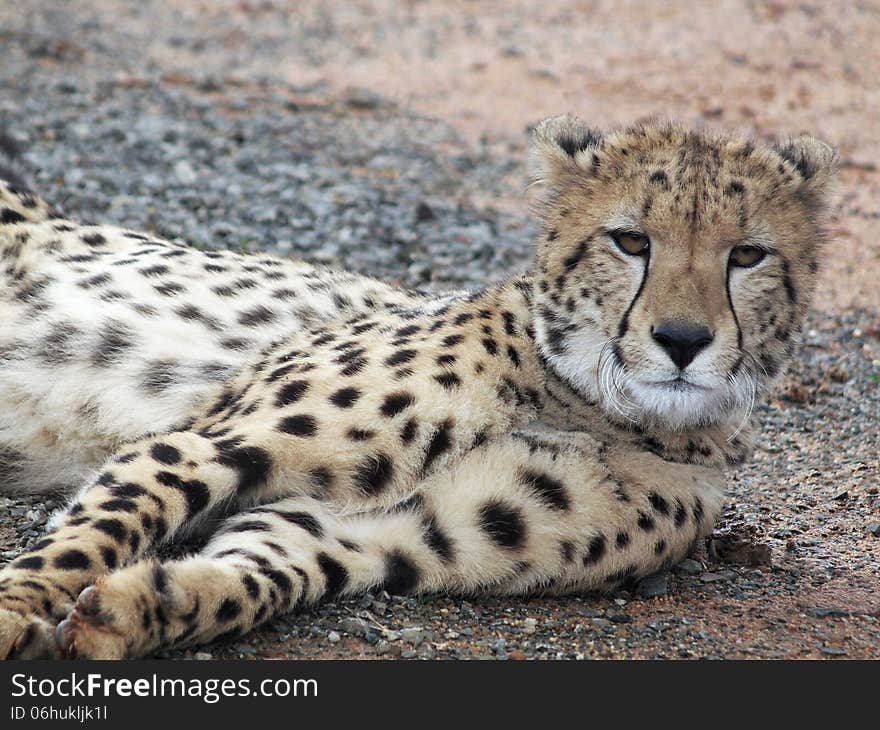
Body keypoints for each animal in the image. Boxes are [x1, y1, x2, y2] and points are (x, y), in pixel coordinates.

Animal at [0, 116, 836, 656]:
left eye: (747, 255)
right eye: (630, 241)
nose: (684, 341)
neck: (595, 403)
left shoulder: (376, 532)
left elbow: (264, 572)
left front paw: (147, 608)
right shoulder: (205, 442)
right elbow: (89, 538)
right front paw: (16, 614)